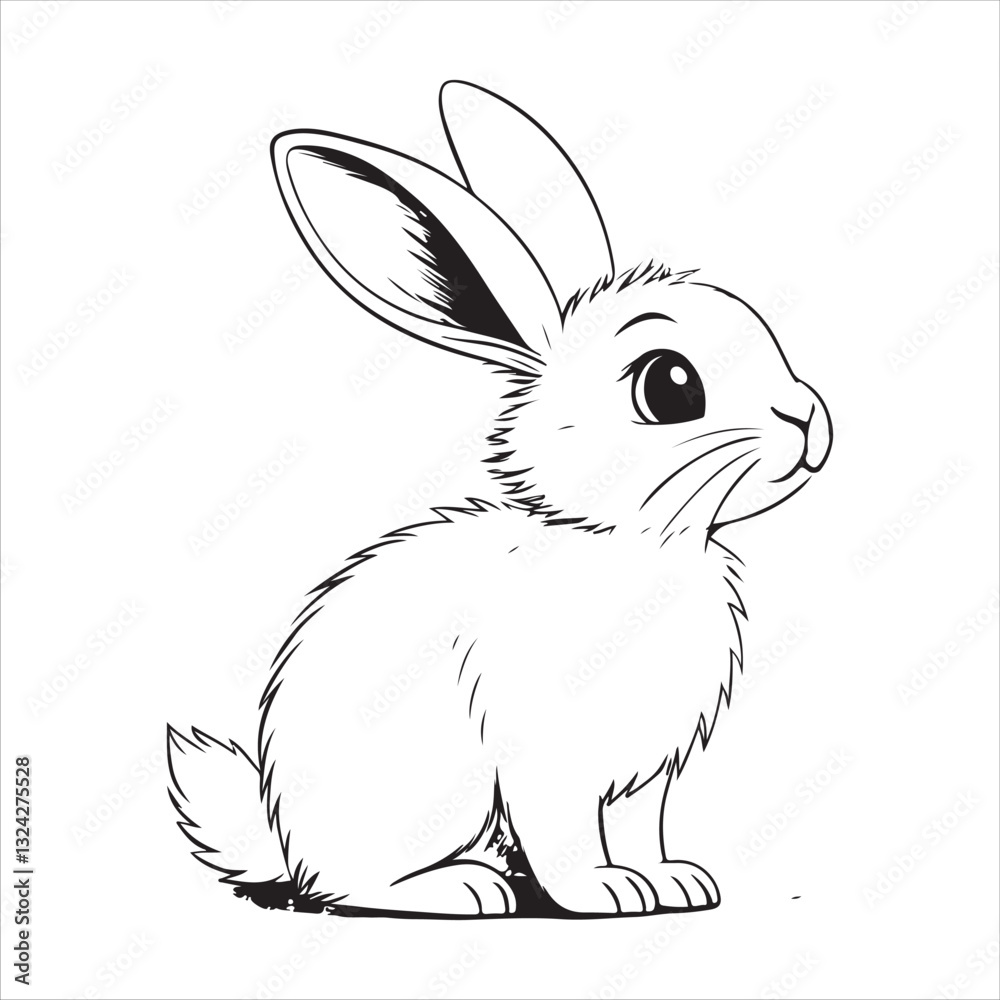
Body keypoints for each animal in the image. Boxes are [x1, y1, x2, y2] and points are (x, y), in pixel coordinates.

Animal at [167, 81, 832, 918]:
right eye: (670, 385)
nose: (808, 418)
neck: (635, 544)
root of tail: (285, 839)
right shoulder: (544, 761)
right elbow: (564, 836)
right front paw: (606, 893)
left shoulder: (644, 775)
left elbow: (642, 829)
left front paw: (675, 883)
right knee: (360, 884)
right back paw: (465, 889)